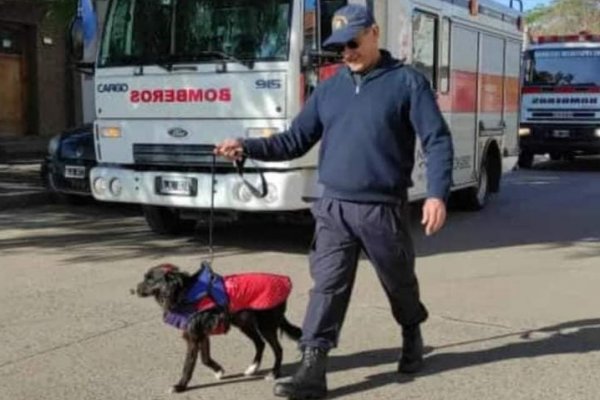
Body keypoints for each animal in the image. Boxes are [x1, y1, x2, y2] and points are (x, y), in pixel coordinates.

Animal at [138, 264, 302, 392]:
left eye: (150, 279)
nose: (135, 289)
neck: (185, 292)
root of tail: (284, 280)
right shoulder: (202, 334)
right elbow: (205, 358)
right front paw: (219, 371)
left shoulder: (193, 336)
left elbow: (188, 365)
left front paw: (180, 386)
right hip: (244, 323)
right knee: (260, 343)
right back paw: (252, 368)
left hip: (265, 325)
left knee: (277, 349)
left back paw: (274, 373)